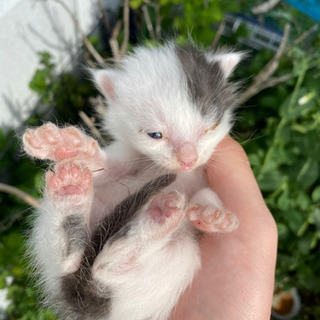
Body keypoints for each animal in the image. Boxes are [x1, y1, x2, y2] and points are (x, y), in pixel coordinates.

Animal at [22, 41, 242, 318]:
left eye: (209, 129)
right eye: (155, 135)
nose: (188, 159)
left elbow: (206, 196)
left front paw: (212, 214)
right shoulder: (127, 158)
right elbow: (109, 167)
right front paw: (68, 146)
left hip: (175, 262)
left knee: (103, 268)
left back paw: (150, 223)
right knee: (79, 264)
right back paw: (71, 198)